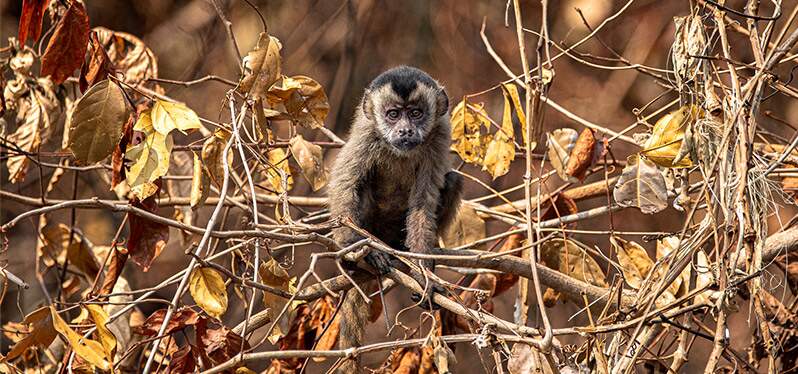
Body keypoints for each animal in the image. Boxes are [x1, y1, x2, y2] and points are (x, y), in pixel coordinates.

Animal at [326, 65, 462, 372]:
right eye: (392, 114)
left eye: (416, 113)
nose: (405, 130)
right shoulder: (367, 132)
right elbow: (345, 183)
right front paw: (353, 248)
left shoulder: (440, 132)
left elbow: (423, 205)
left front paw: (425, 275)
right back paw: (366, 256)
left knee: (453, 180)